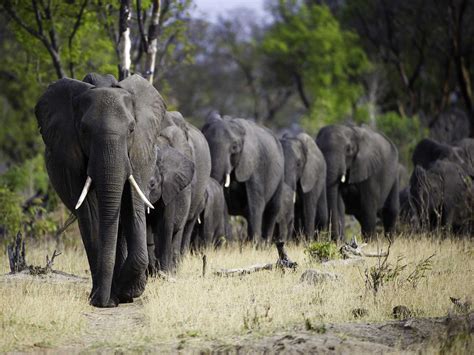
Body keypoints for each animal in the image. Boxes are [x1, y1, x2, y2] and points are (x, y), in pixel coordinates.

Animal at [35, 73, 165, 308]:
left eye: (132, 129)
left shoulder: (139, 153)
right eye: (84, 131)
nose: (102, 302)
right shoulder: (71, 155)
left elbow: (133, 205)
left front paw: (126, 291)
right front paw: (105, 299)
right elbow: (91, 212)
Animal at [201, 115, 284, 246]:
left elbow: (255, 203)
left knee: (272, 209)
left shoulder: (254, 165)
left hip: (280, 174)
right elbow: (224, 202)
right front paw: (228, 245)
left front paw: (255, 245)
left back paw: (265, 244)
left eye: (234, 147)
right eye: (206, 144)